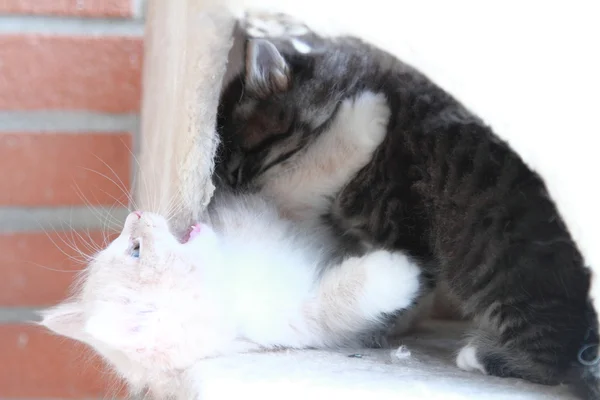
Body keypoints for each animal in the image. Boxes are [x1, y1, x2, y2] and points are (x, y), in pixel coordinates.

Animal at [39, 193, 420, 396]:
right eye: (135, 250)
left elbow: (302, 195)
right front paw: (401, 273)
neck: (231, 276)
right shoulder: (299, 321)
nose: (135, 213)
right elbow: (340, 300)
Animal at [217, 36, 600, 398]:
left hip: (504, 268)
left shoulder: (406, 227)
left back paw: (481, 356)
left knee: (550, 357)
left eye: (238, 172)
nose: (245, 201)